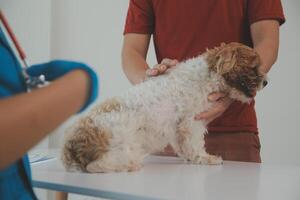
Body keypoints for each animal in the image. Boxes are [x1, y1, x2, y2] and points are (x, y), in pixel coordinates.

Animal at [62, 41, 266, 172]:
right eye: (254, 67)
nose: (266, 82)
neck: (206, 75)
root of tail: (72, 145)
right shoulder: (192, 122)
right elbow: (196, 144)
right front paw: (205, 158)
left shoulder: (178, 127)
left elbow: (184, 146)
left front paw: (190, 157)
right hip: (122, 144)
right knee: (95, 165)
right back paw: (129, 165)